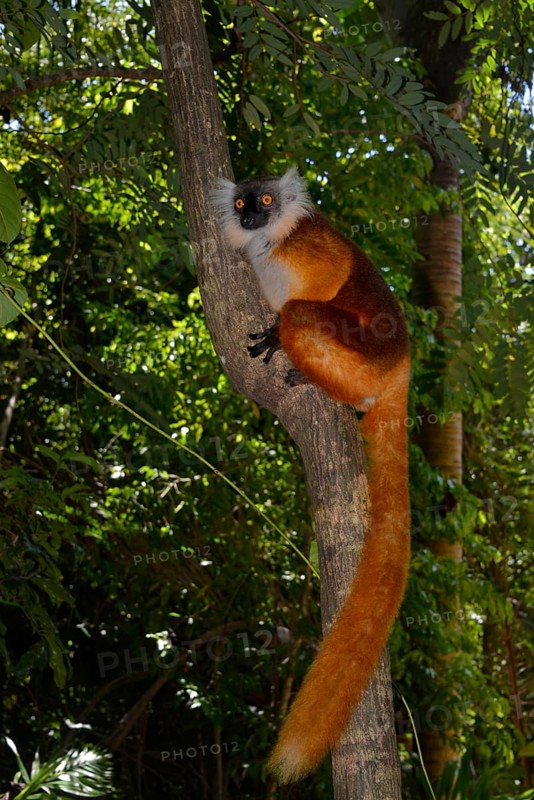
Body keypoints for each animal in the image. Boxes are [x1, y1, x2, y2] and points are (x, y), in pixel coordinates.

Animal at [211, 166, 411, 783]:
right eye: (243, 203)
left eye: (265, 200)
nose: (253, 215)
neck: (264, 243)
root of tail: (402, 370)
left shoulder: (306, 245)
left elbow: (326, 279)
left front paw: (275, 333)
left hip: (363, 353)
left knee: (302, 313)